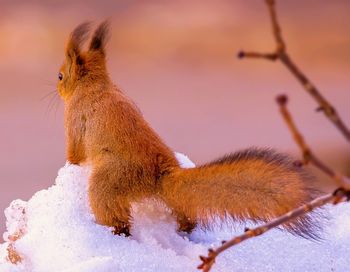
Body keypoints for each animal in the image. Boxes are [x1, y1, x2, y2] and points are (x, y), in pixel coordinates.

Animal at [56, 21, 320, 238]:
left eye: (60, 76)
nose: (57, 89)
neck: (96, 84)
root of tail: (161, 175)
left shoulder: (75, 120)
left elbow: (75, 152)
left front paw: (71, 166)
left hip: (109, 181)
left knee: (115, 216)